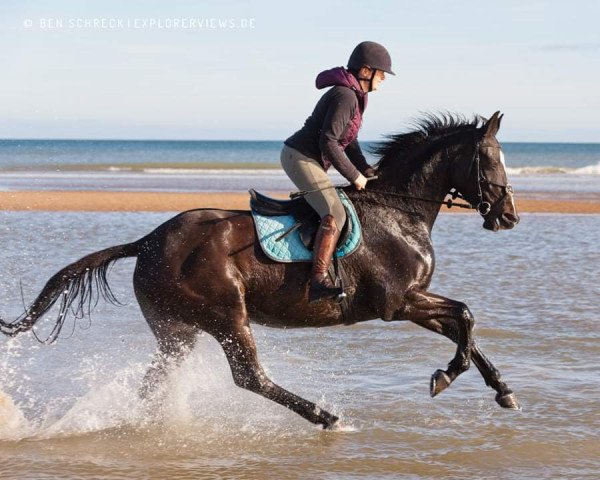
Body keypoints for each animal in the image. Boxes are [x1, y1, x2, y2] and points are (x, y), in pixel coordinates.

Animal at [0, 111, 520, 428]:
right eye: (490, 159)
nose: (509, 216)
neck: (400, 213)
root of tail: (147, 241)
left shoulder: (414, 303)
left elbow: (465, 330)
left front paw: (502, 391)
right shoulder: (399, 302)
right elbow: (466, 316)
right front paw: (446, 377)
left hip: (176, 329)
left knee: (158, 381)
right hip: (228, 315)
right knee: (249, 376)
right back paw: (325, 417)